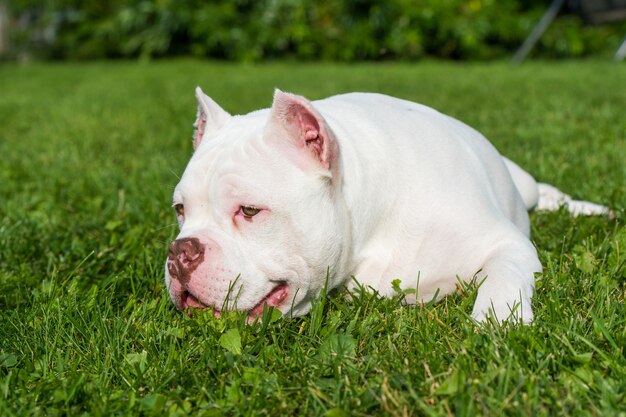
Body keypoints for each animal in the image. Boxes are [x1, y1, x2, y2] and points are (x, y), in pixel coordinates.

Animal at [163, 87, 608, 322]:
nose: (181, 251)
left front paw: (495, 320)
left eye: (250, 211)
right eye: (180, 211)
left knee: (545, 192)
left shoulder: (508, 244)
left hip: (523, 187)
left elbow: (504, 275)